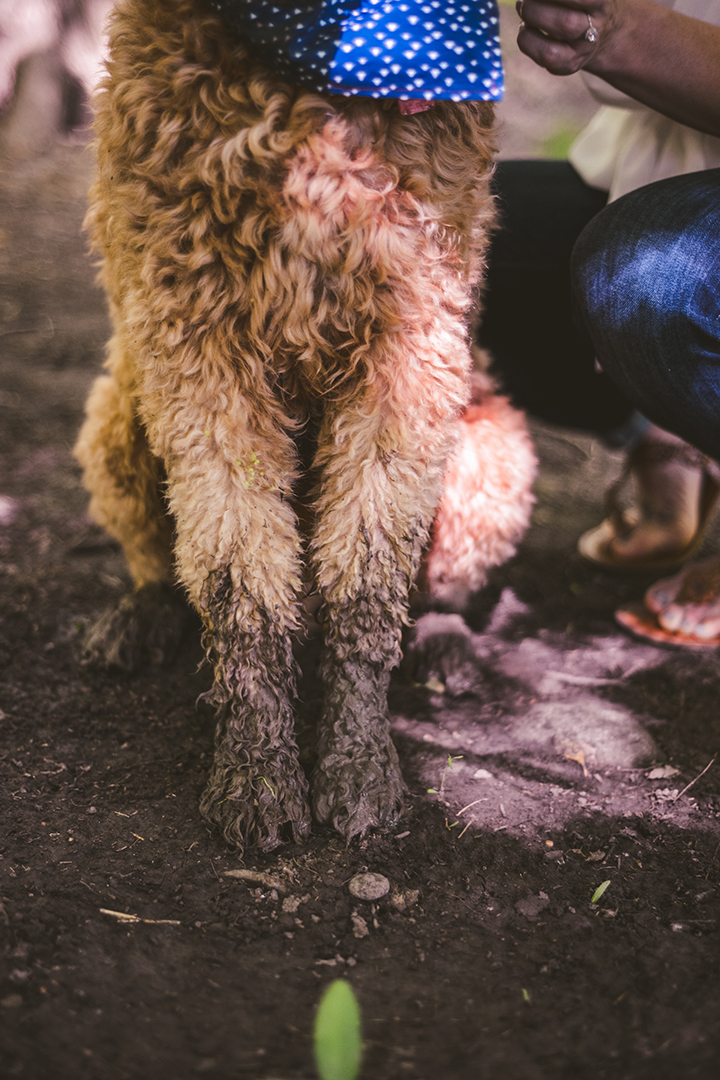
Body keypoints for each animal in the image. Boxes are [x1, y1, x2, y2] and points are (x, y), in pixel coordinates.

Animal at [76, 2, 537, 851]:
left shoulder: (410, 347)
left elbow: (368, 573)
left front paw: (357, 761)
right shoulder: (195, 341)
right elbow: (238, 575)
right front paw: (257, 769)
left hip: (491, 456)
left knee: (438, 582)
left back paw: (445, 645)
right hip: (118, 416)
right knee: (162, 560)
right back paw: (138, 617)